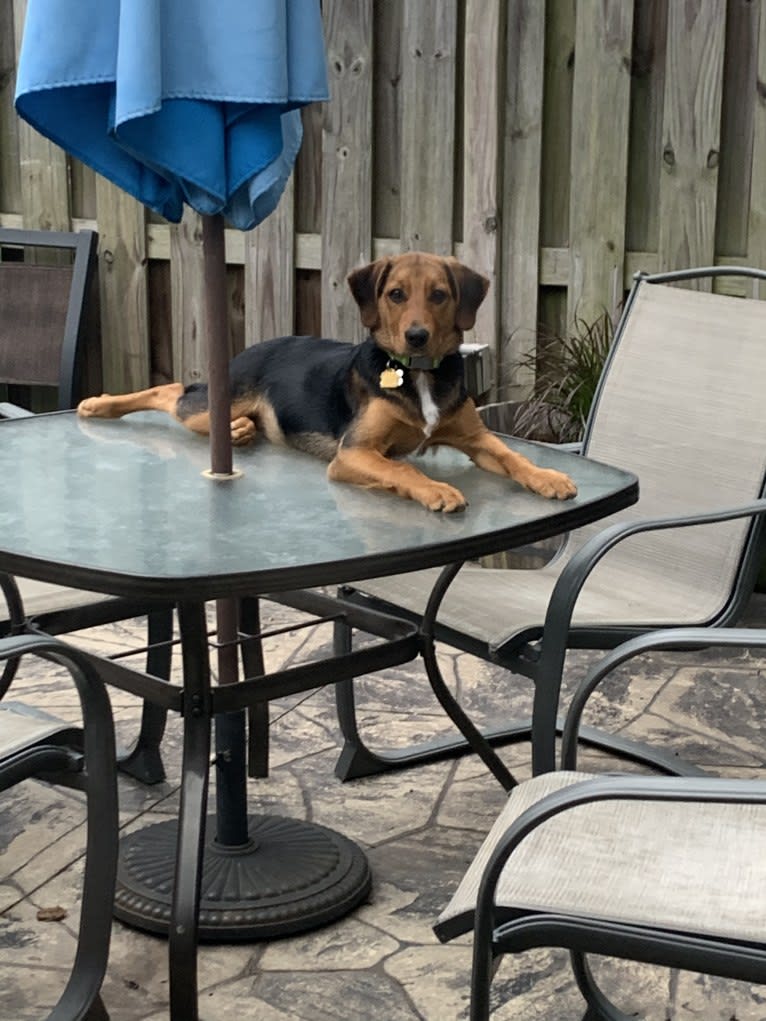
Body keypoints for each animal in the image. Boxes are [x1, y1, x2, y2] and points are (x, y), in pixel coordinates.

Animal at [79, 252, 576, 514]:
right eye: (396, 295)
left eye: (439, 295)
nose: (417, 336)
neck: (417, 372)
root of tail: (254, 347)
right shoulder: (353, 453)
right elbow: (403, 468)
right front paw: (436, 489)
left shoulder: (475, 438)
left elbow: (513, 456)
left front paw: (548, 477)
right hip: (218, 400)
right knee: (171, 392)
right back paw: (98, 404)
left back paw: (241, 432)